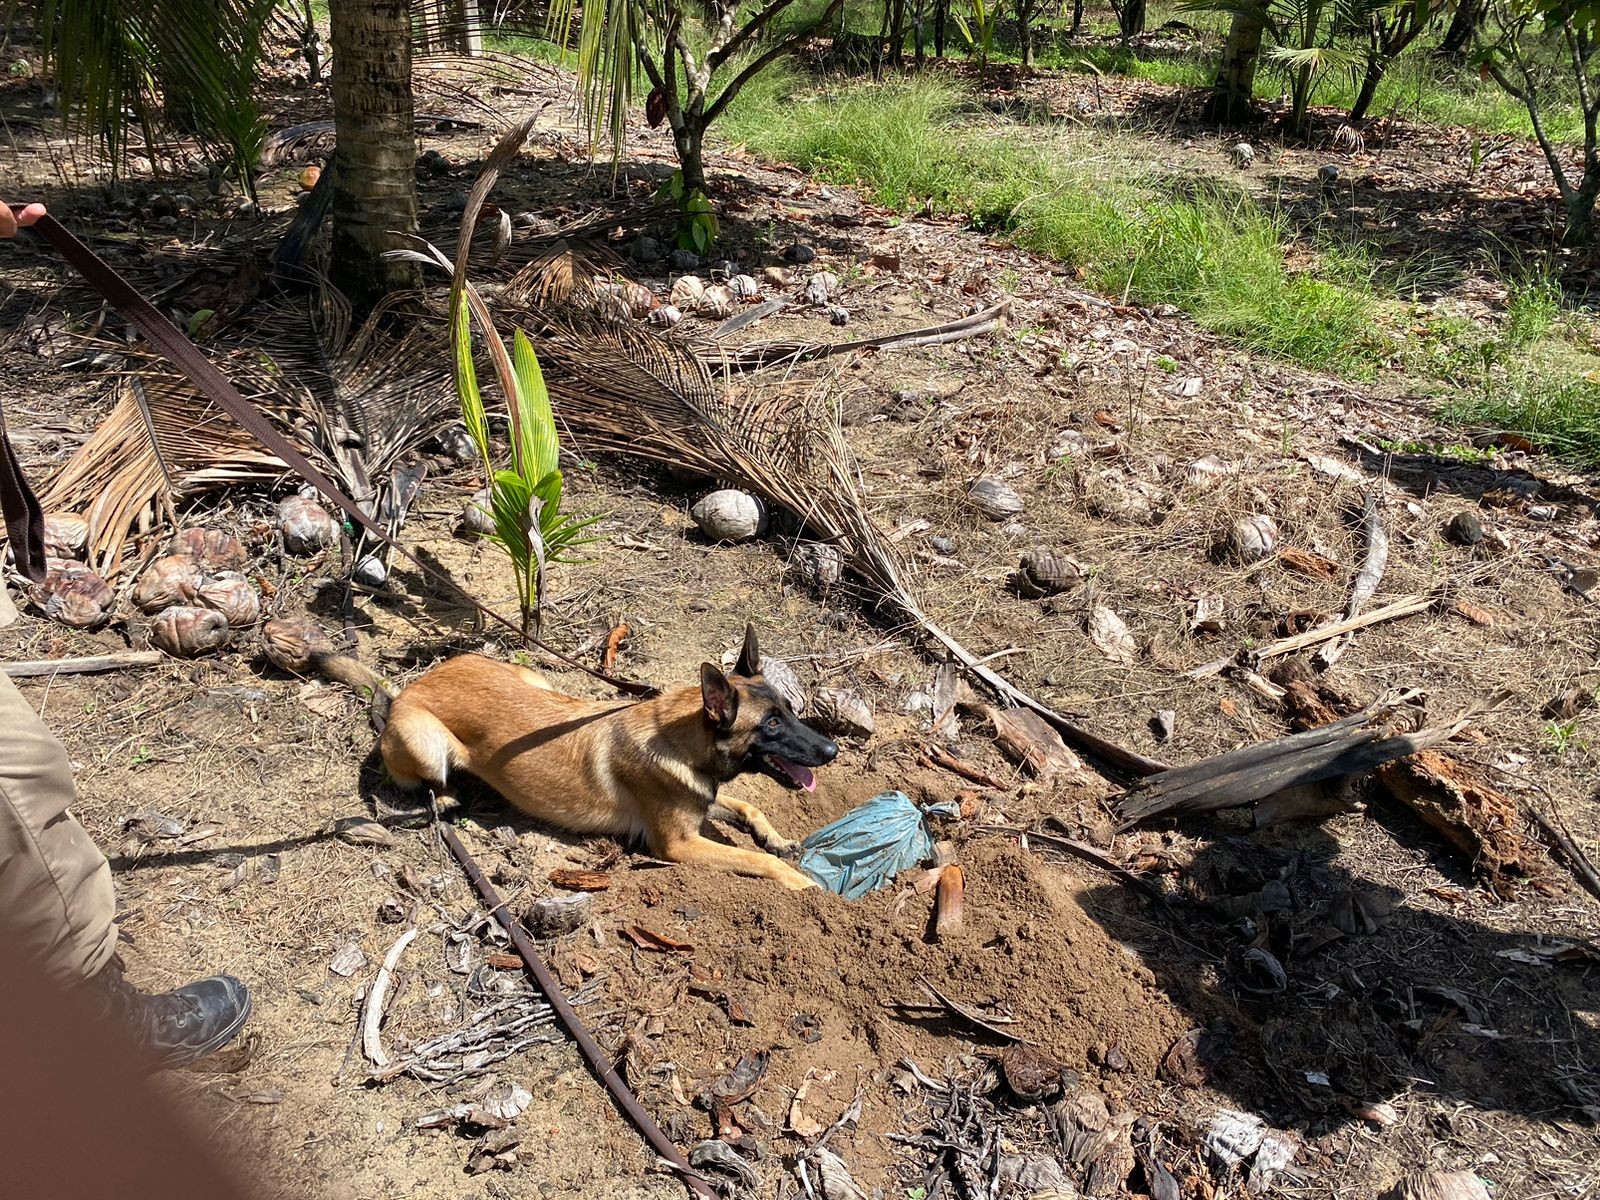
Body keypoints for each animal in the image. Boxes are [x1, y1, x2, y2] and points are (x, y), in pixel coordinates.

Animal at [376, 630, 838, 896]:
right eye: (771, 724)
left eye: (789, 711)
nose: (832, 751)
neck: (681, 740)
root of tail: (410, 685)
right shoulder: (677, 844)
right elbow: (756, 860)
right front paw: (802, 883)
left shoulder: (700, 802)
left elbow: (749, 807)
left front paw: (777, 838)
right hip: (426, 744)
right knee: (427, 781)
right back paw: (448, 798)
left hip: (536, 680)